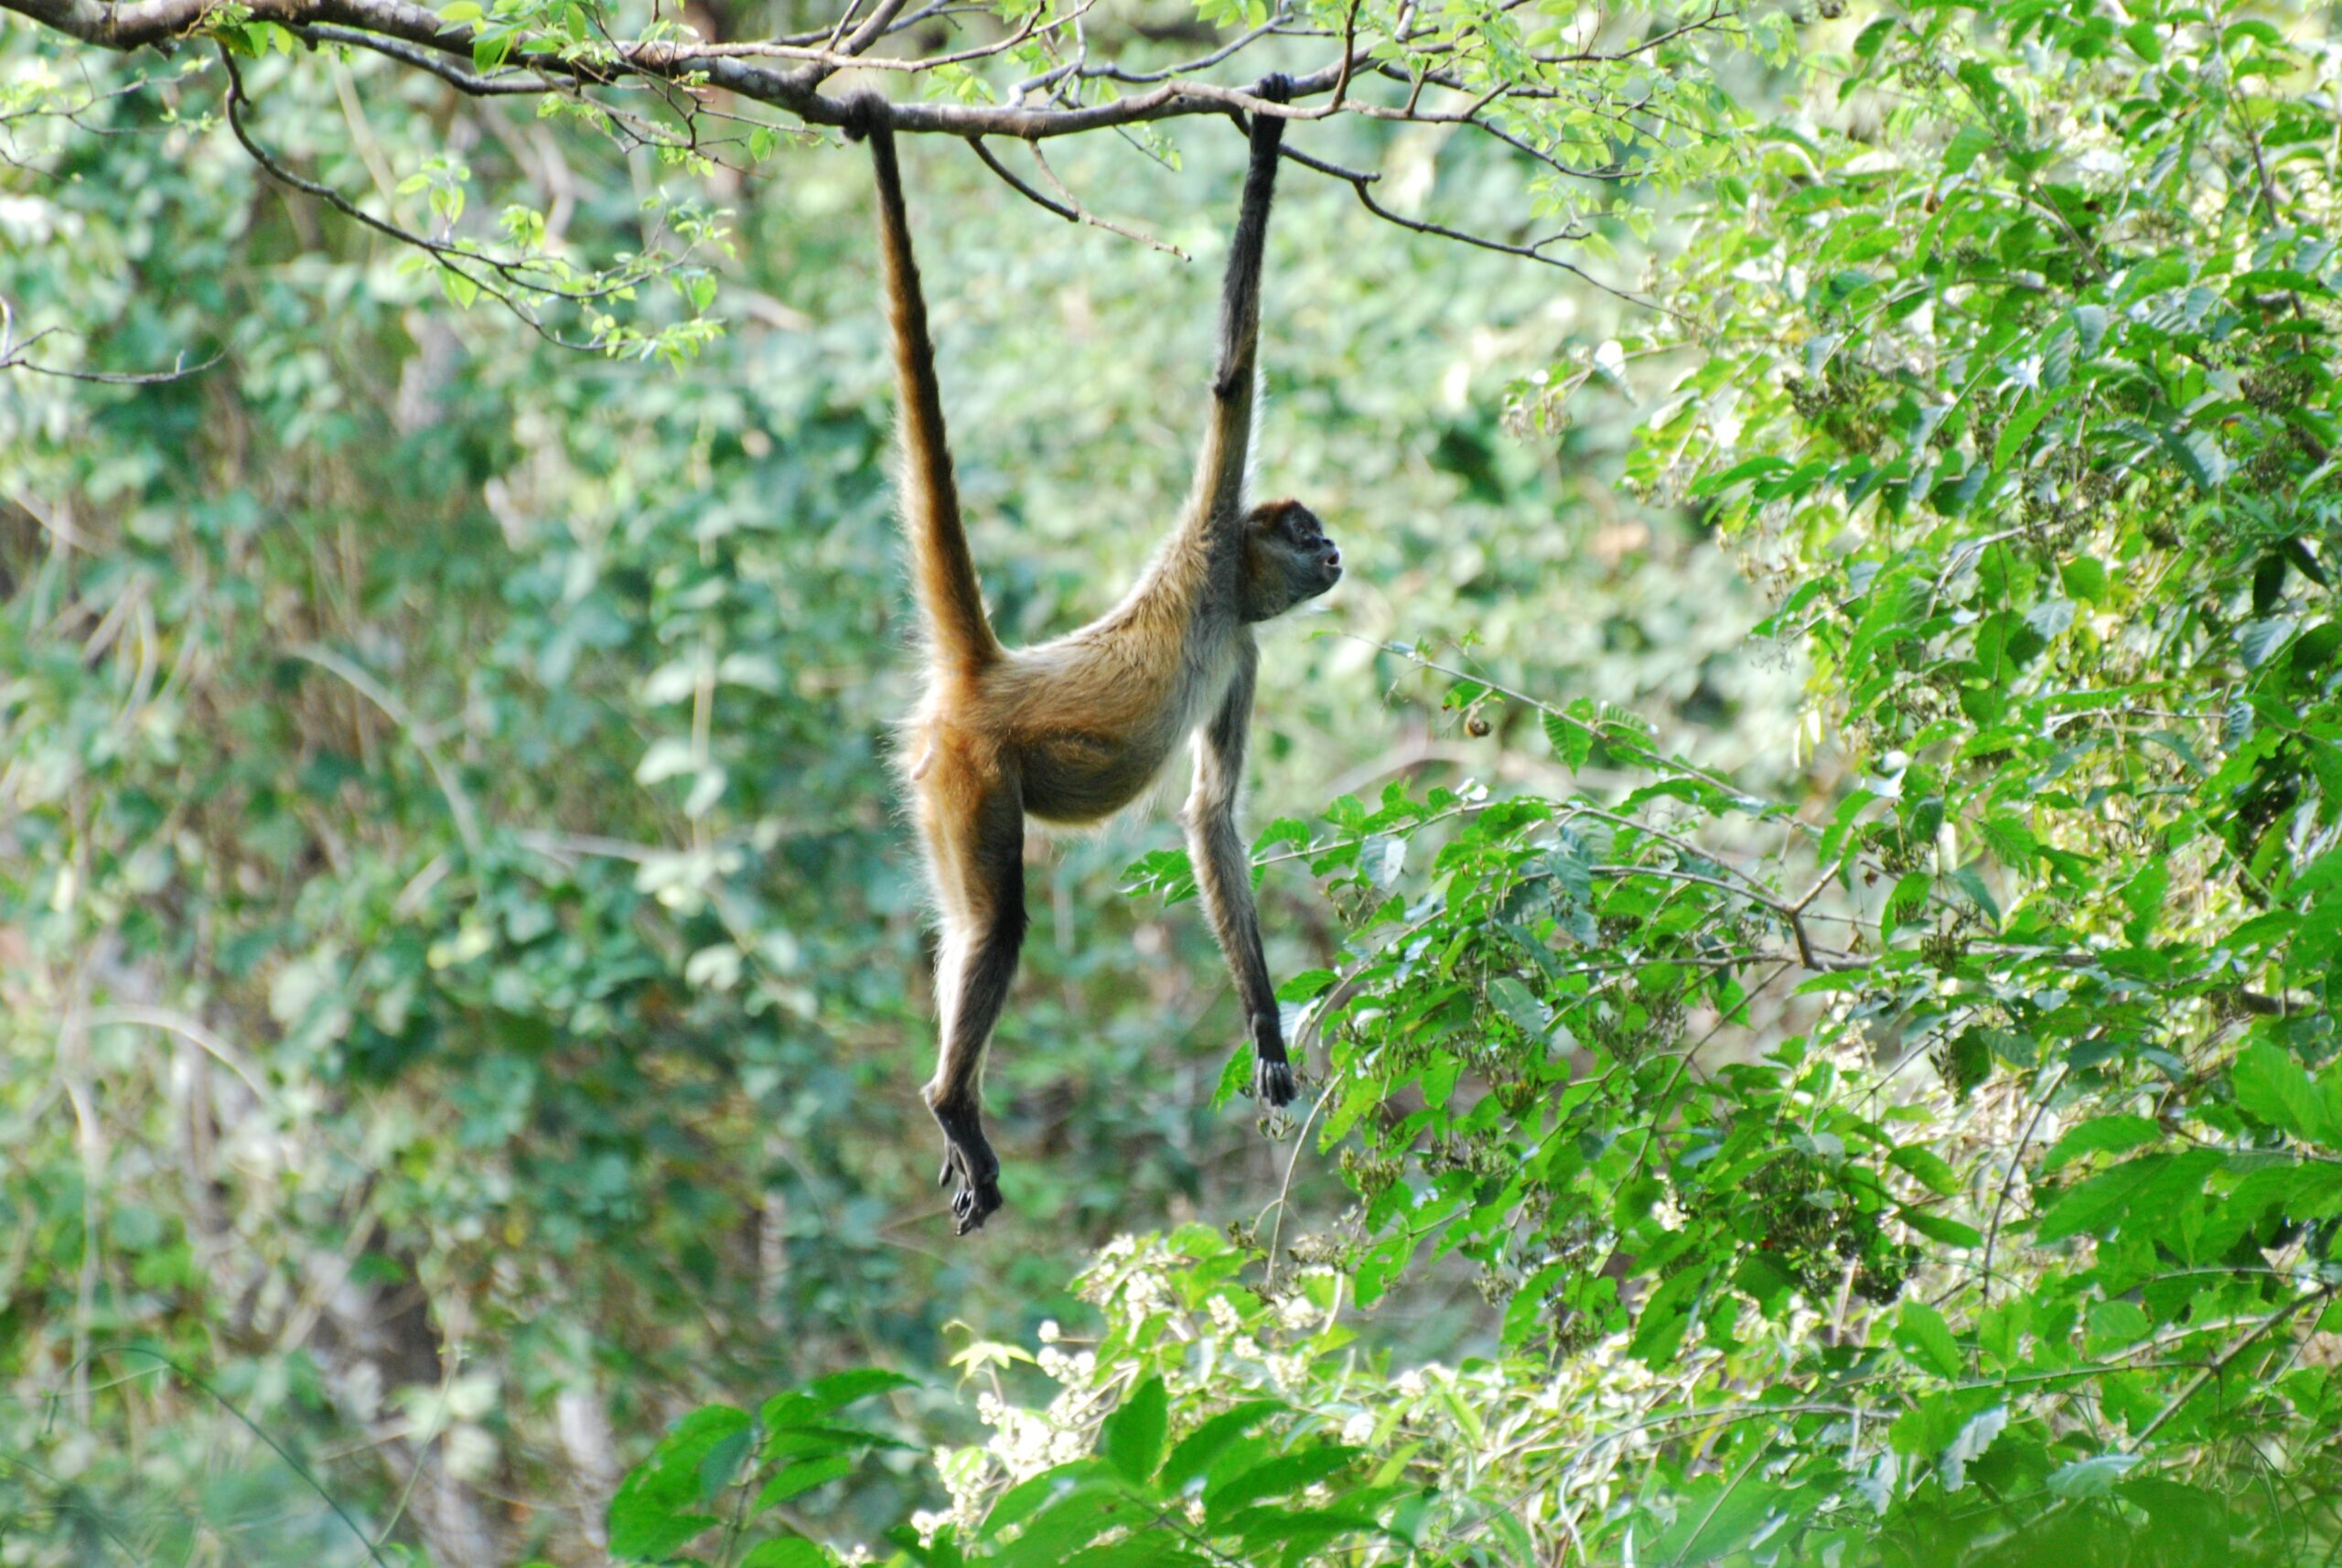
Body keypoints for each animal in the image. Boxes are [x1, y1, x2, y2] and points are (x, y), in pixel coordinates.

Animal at [852, 82, 1348, 1244]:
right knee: (997, 925)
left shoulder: (1243, 650)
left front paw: (1267, 1038)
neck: (1218, 601)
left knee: (962, 926)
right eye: (1305, 531)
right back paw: (953, 1101)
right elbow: (1232, 372)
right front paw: (1266, 130)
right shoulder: (1206, 533)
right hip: (972, 771)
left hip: (936, 784)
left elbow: (1211, 812)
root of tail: (990, 671)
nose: (1338, 552)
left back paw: (956, 1115)